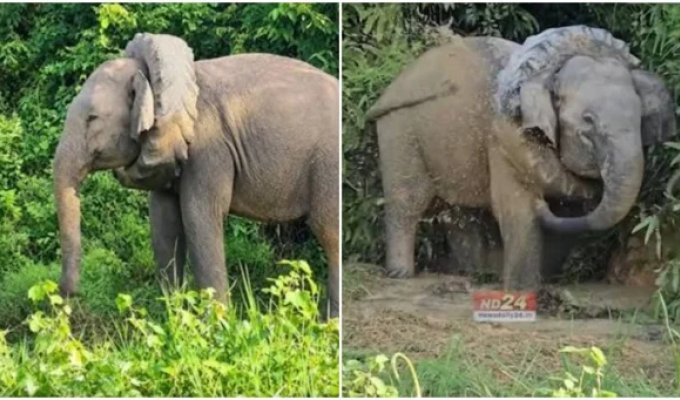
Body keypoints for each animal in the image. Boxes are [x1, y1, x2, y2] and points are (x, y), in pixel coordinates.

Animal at [53, 33, 339, 317]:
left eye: (92, 118)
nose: (69, 295)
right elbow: (164, 221)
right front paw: (173, 318)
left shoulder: (209, 150)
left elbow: (199, 216)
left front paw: (218, 324)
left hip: (328, 166)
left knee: (329, 233)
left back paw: (330, 321)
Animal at [366, 26, 675, 290]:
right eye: (588, 124)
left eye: (640, 120)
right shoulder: (505, 138)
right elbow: (516, 211)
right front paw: (522, 289)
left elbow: (568, 211)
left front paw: (543, 280)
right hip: (399, 129)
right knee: (408, 201)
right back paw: (401, 274)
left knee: (458, 212)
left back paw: (472, 271)